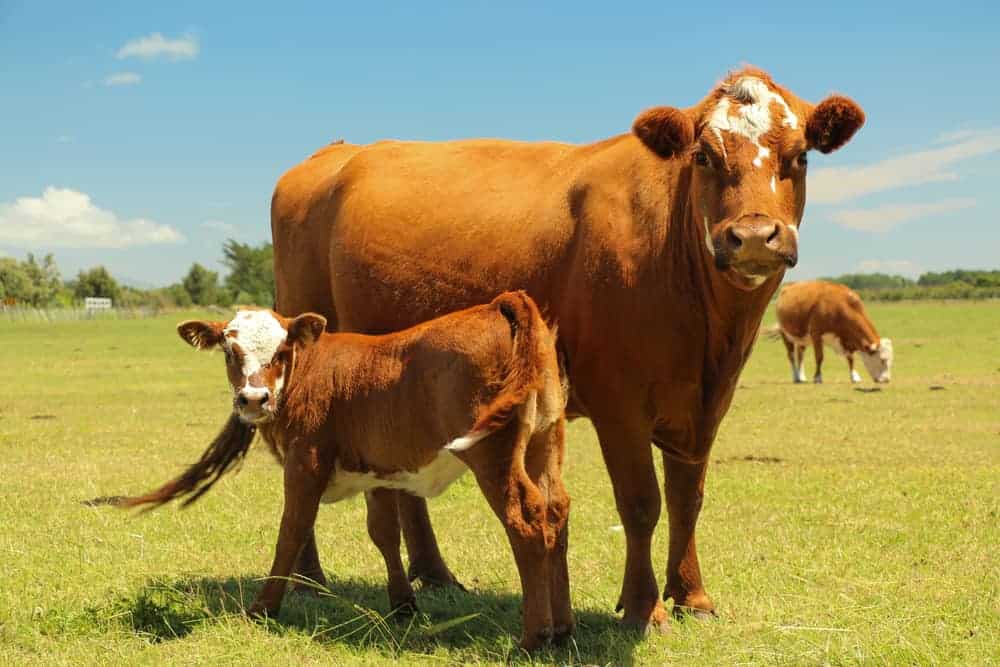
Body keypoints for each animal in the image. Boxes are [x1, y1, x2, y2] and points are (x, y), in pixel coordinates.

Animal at [122, 292, 571, 650]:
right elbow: (385, 533)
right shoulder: (379, 471)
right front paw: (403, 605)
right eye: (230, 352)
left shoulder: (304, 464)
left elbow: (292, 532)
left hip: (492, 457)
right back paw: (563, 629)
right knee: (556, 514)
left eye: (281, 351)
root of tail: (499, 304)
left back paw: (534, 637)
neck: (309, 371)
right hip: (545, 443)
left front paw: (263, 608)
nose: (253, 399)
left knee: (525, 522)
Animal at [270, 66, 866, 632]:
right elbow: (641, 502)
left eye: (801, 156)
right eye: (703, 156)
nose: (755, 236)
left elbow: (686, 499)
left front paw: (692, 596)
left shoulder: (705, 407)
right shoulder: (619, 404)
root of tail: (334, 153)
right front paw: (644, 607)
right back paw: (308, 580)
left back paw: (434, 574)